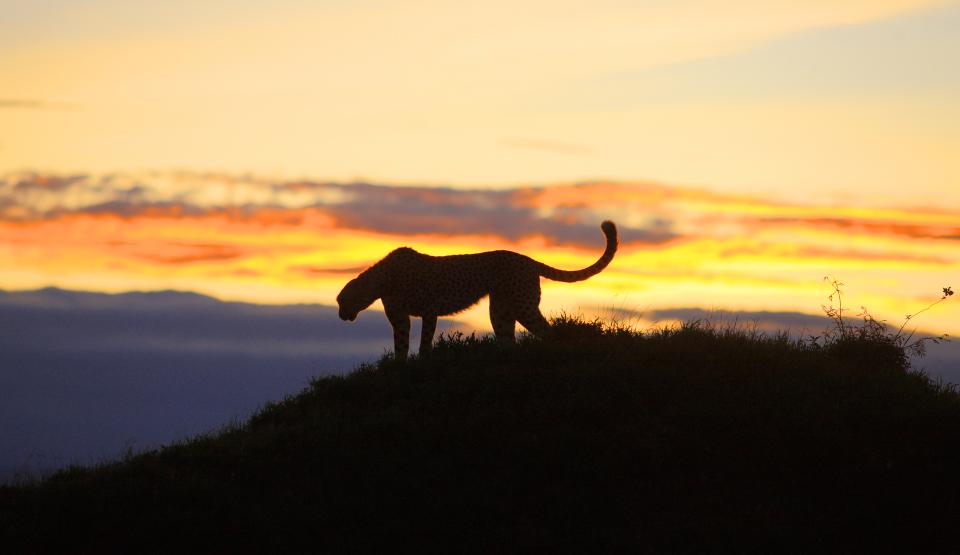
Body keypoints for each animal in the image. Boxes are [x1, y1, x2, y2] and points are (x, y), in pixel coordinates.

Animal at [338, 222, 620, 360]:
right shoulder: (401, 318)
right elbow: (401, 344)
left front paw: (423, 360)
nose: (340, 315)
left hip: (523, 305)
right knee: (508, 339)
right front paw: (399, 366)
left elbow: (425, 341)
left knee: (547, 331)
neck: (381, 279)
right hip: (501, 310)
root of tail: (527, 259)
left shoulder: (429, 310)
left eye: (342, 301)